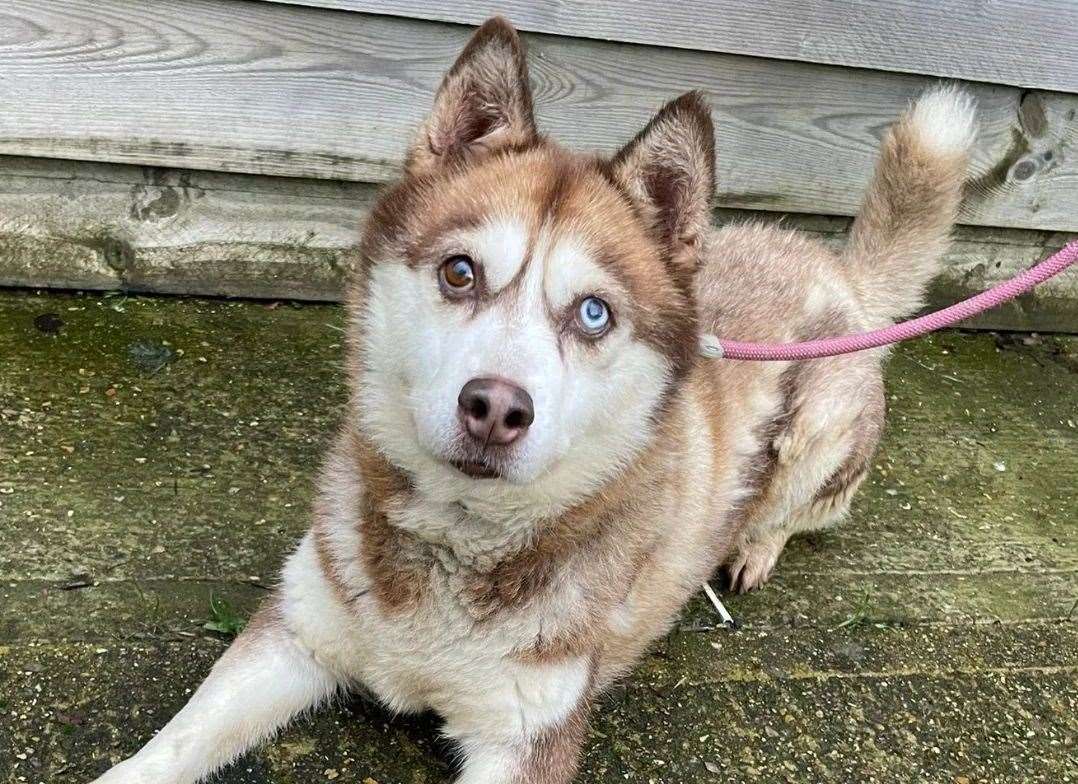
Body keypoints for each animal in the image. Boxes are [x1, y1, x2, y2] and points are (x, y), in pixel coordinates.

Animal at [94, 16, 978, 784]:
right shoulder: (296, 631)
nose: (494, 407)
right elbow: (169, 747)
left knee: (795, 508)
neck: (455, 551)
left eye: (593, 313)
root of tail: (836, 268)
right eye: (460, 272)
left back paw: (754, 545)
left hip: (819, 430)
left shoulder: (529, 736)